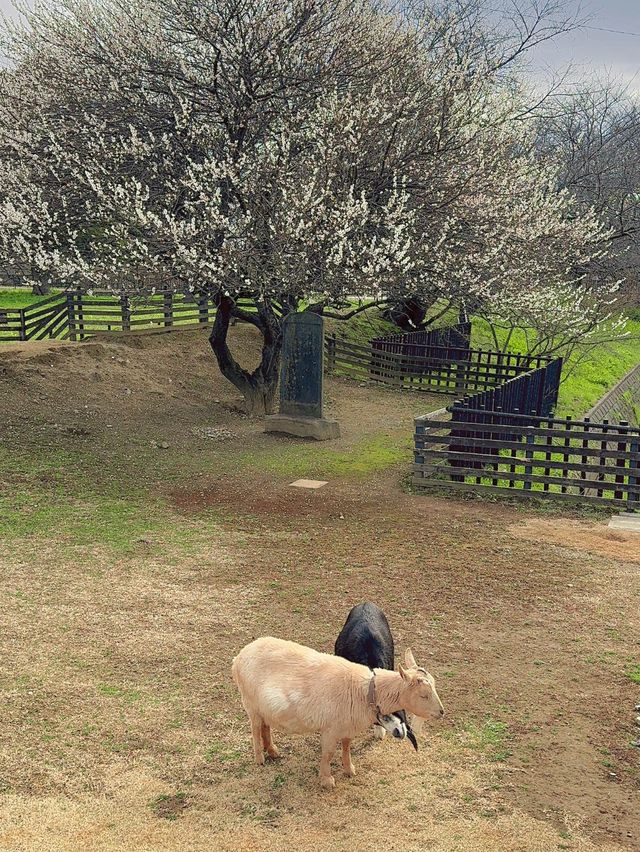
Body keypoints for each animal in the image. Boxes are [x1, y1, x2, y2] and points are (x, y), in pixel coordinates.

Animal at [231, 636, 444, 788]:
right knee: (255, 729)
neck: (363, 691)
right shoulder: (330, 729)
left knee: (265, 726)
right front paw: (326, 780)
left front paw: (349, 769)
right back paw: (260, 758)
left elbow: (346, 747)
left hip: (265, 707)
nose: (441, 712)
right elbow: (328, 753)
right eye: (424, 695)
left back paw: (273, 751)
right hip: (250, 703)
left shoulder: (347, 726)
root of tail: (239, 657)